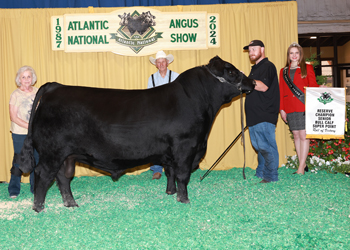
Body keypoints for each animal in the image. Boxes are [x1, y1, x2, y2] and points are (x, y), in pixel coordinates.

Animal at [19, 55, 254, 212]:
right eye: (231, 72)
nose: (251, 82)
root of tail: (55, 86)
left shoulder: (171, 151)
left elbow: (170, 172)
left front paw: (170, 193)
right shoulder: (185, 147)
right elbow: (182, 175)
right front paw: (184, 199)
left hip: (67, 155)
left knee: (63, 177)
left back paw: (71, 203)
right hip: (52, 152)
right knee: (43, 175)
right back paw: (39, 208)